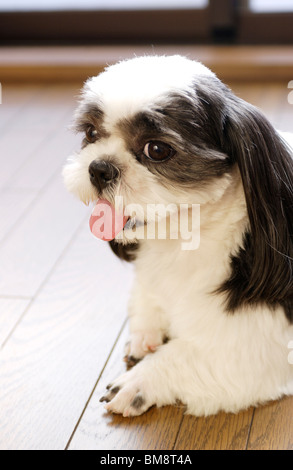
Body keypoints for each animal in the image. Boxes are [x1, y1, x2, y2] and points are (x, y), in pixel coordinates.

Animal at [63, 55, 292, 418]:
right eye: (91, 133)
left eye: (157, 149)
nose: (99, 168)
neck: (183, 242)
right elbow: (146, 295)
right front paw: (144, 331)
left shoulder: (255, 347)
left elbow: (184, 355)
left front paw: (137, 381)